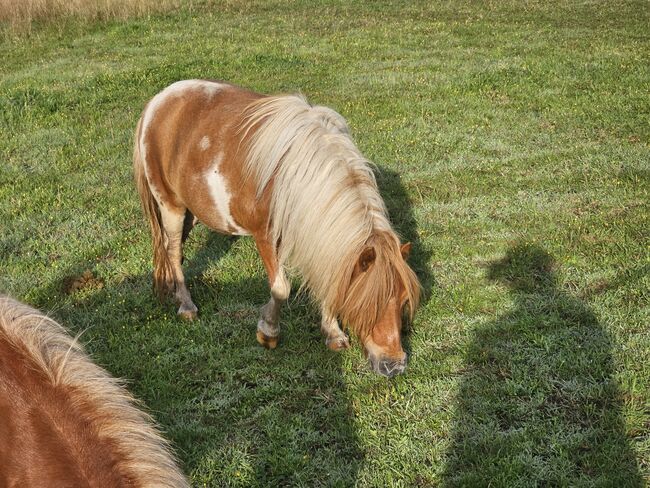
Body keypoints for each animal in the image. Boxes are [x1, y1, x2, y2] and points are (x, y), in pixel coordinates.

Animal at [135, 81, 420, 378]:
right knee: (171, 249)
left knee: (173, 252)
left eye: (403, 301)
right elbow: (281, 288)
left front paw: (333, 333)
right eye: (370, 304)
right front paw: (268, 332)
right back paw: (186, 305)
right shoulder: (266, 237)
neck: (299, 173)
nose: (394, 365)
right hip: (171, 207)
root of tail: (160, 100)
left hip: (193, 212)